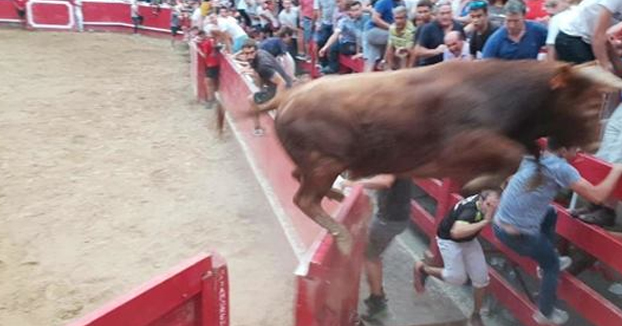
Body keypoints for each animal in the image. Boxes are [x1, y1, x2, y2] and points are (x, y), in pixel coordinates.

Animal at [251, 61, 622, 255]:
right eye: (591, 105)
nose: (593, 145)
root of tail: (291, 95)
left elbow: (526, 157)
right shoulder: (459, 146)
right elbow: (512, 154)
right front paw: (480, 182)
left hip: (320, 164)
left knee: (299, 181)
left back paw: (339, 196)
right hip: (324, 162)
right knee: (303, 198)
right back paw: (342, 236)